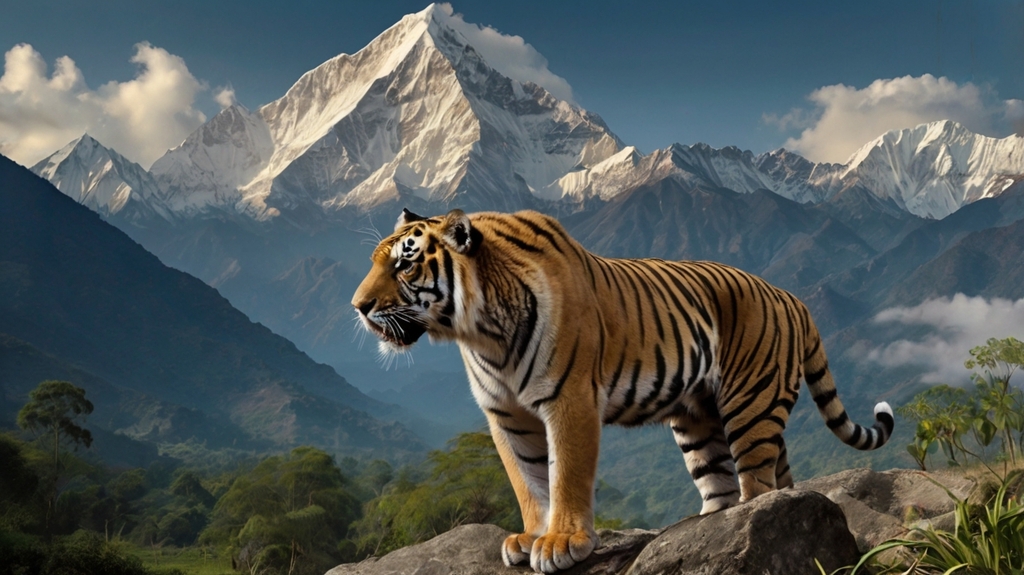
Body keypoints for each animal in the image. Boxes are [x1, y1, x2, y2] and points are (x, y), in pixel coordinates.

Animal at [352, 208, 894, 574]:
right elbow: (527, 479)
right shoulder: (504, 414)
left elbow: (565, 474)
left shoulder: (569, 399)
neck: (480, 330)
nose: (358, 306)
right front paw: (531, 536)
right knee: (743, 482)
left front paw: (561, 542)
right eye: (375, 262)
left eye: (404, 265)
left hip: (750, 405)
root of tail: (792, 297)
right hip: (700, 421)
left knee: (759, 486)